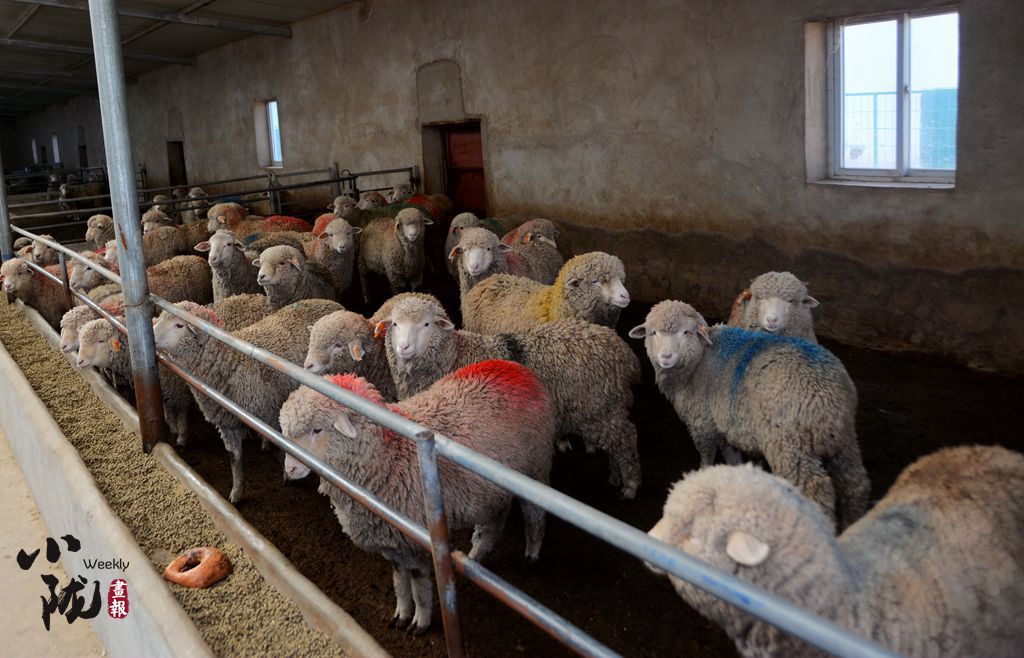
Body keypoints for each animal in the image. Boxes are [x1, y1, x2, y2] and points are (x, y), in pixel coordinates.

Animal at [75, 315, 192, 448]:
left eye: (101, 341)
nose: (79, 361)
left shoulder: (180, 390)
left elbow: (182, 412)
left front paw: (181, 435)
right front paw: (172, 427)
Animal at [276, 358, 557, 634]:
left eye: (317, 430)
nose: (290, 469)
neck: (389, 455)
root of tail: (515, 368)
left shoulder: (417, 540)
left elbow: (419, 585)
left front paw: (420, 621)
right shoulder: (394, 541)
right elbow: (399, 580)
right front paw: (401, 614)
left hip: (535, 468)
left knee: (534, 516)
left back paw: (531, 555)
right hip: (490, 491)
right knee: (492, 522)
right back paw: (475, 557)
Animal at [626, 300, 868, 532]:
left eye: (686, 332)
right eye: (653, 333)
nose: (665, 357)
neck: (699, 361)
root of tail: (827, 394)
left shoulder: (703, 423)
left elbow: (707, 455)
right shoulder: (727, 424)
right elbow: (731, 457)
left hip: (789, 444)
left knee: (815, 490)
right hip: (843, 441)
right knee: (855, 485)